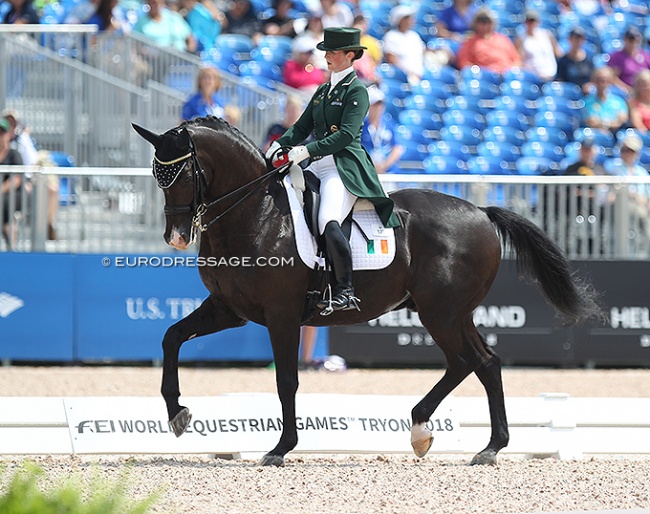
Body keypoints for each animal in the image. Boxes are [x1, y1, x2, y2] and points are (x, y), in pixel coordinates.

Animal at [133, 115, 604, 464]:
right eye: (158, 176)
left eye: (183, 173)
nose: (176, 236)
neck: (256, 212)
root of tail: (481, 212)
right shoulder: (228, 309)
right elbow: (171, 337)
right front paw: (177, 414)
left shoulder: (281, 314)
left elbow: (286, 380)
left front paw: (281, 449)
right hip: (453, 313)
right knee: (483, 362)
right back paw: (482, 445)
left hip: (440, 313)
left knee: (468, 361)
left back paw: (432, 432)